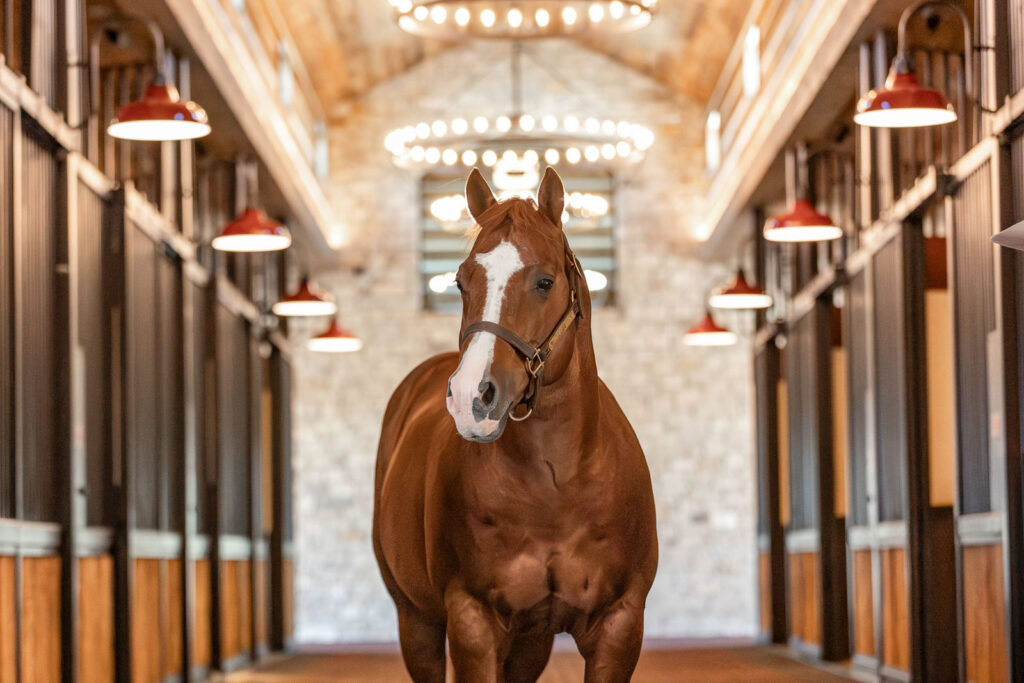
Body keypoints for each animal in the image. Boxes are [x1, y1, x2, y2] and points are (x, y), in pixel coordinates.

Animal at [373, 167, 658, 682]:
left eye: (545, 281)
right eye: (461, 281)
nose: (472, 397)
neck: (557, 487)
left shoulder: (619, 626)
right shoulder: (473, 622)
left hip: (530, 642)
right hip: (416, 619)